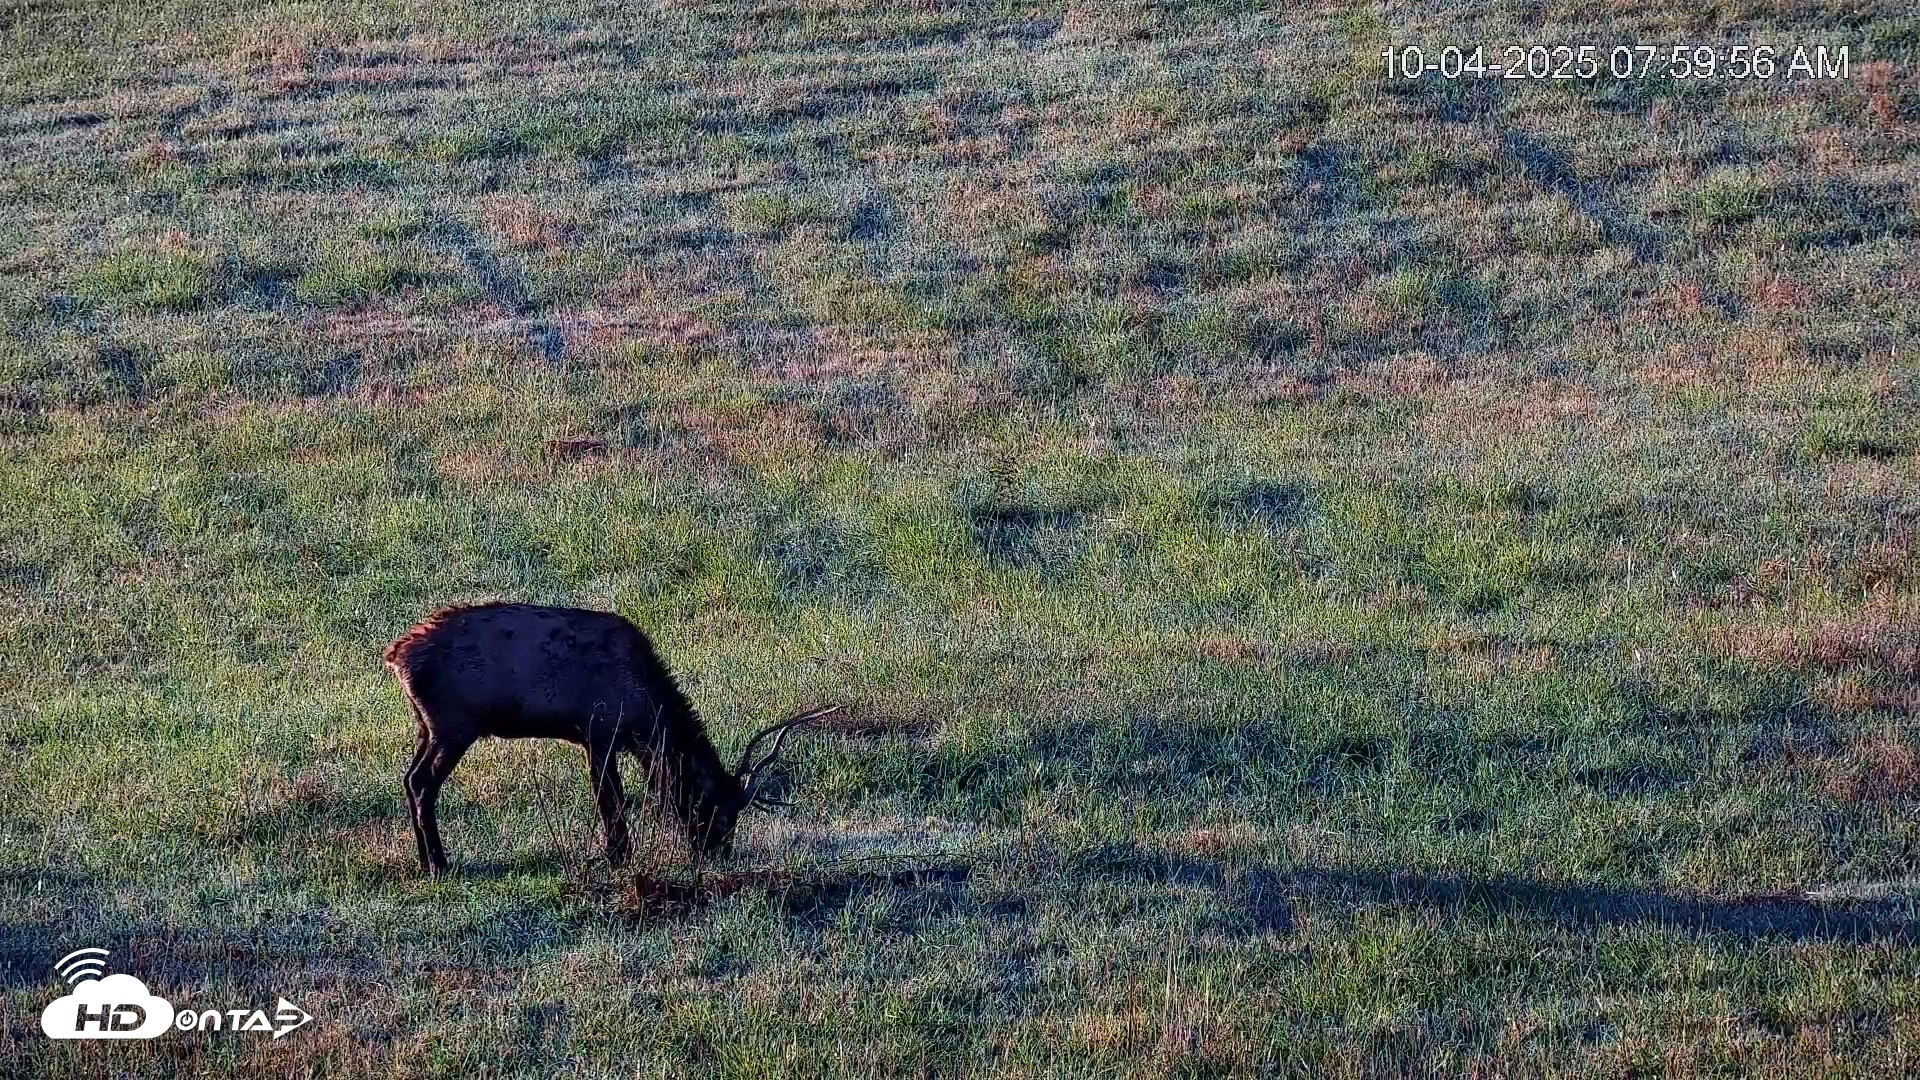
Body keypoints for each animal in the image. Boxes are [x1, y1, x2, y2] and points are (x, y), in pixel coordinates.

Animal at [384, 602, 836, 875]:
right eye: (717, 810)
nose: (716, 852)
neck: (644, 714)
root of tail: (395, 656)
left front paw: (619, 852)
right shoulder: (599, 731)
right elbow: (610, 798)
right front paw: (618, 854)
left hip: (427, 725)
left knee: (408, 778)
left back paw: (425, 860)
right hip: (453, 724)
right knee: (422, 782)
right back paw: (438, 863)